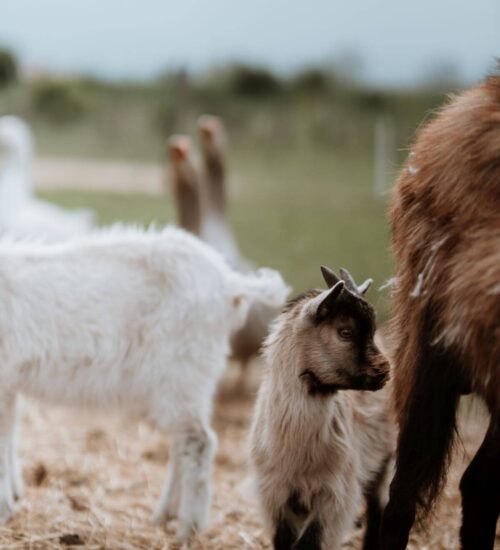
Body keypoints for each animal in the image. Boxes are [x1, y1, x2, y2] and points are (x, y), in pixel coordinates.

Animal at [0, 225, 290, 544]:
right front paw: (11, 500)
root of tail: (230, 283)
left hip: (182, 372)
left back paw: (188, 529)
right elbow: (9, 436)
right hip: (186, 382)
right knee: (183, 442)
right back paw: (167, 515)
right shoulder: (9, 384)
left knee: (199, 441)